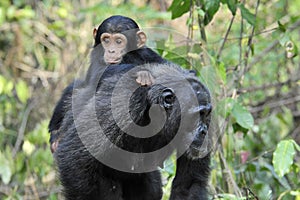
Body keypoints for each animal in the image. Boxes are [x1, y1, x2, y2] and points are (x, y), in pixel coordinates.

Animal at [49, 15, 166, 153]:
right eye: (106, 40)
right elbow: (98, 74)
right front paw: (142, 73)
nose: (111, 50)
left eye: (119, 41)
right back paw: (56, 135)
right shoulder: (96, 55)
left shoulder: (147, 53)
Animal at [54, 61, 212, 199]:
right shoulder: (123, 102)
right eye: (198, 114)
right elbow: (75, 158)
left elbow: (188, 184)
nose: (204, 131)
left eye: (206, 114)